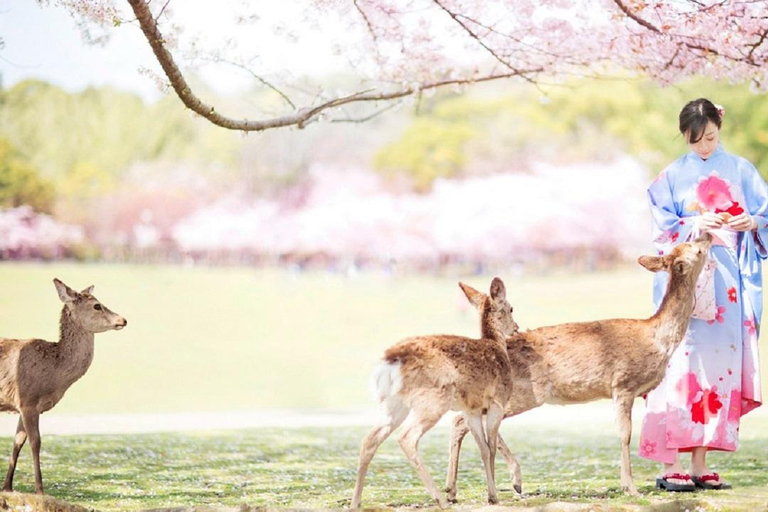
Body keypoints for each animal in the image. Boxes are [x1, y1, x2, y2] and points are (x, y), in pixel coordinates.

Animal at [0, 278, 126, 494]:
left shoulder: (23, 405)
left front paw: (7, 488)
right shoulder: (28, 400)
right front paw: (40, 490)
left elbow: (17, 441)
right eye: (97, 305)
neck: (54, 377)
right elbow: (36, 442)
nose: (123, 319)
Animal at [352, 278, 520, 510]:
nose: (516, 328)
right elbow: (491, 447)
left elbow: (483, 448)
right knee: (406, 437)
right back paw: (440, 500)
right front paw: (494, 496)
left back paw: (355, 502)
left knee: (369, 439)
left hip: (393, 404)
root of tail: (389, 363)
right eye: (511, 308)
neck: (497, 346)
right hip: (432, 401)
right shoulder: (497, 402)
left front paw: (491, 494)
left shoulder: (471, 409)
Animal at [444, 233, 712, 500]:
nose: (707, 234)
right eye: (695, 248)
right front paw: (631, 488)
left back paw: (455, 489)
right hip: (522, 393)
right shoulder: (623, 383)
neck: (656, 339)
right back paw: (502, 483)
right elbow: (625, 434)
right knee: (461, 420)